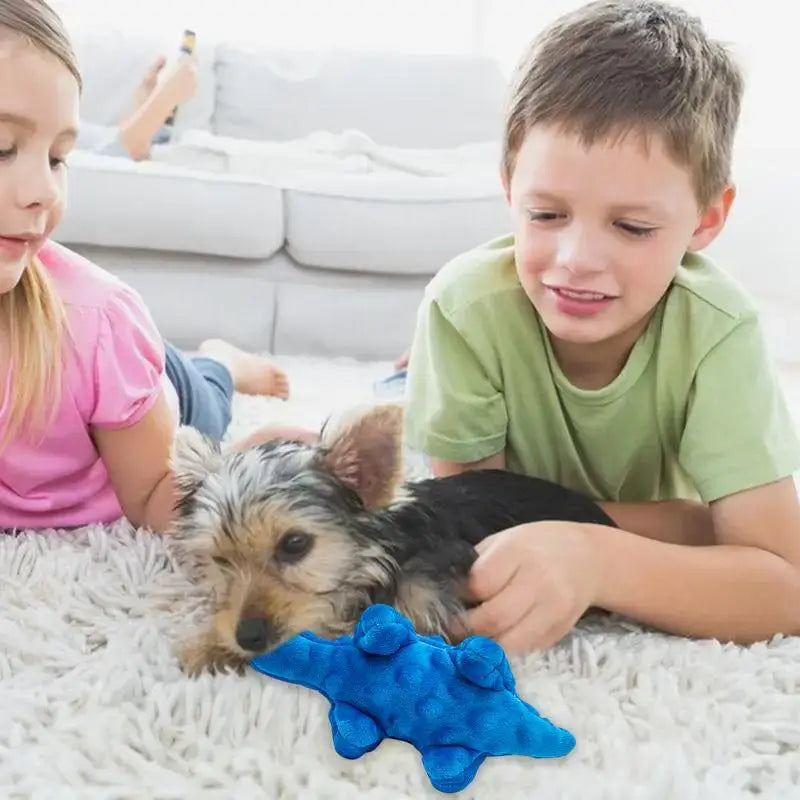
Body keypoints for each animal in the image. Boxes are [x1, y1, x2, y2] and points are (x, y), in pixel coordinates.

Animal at [169, 400, 612, 676]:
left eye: (295, 545)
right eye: (220, 561)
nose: (248, 637)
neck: (388, 556)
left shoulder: (421, 610)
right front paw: (213, 645)